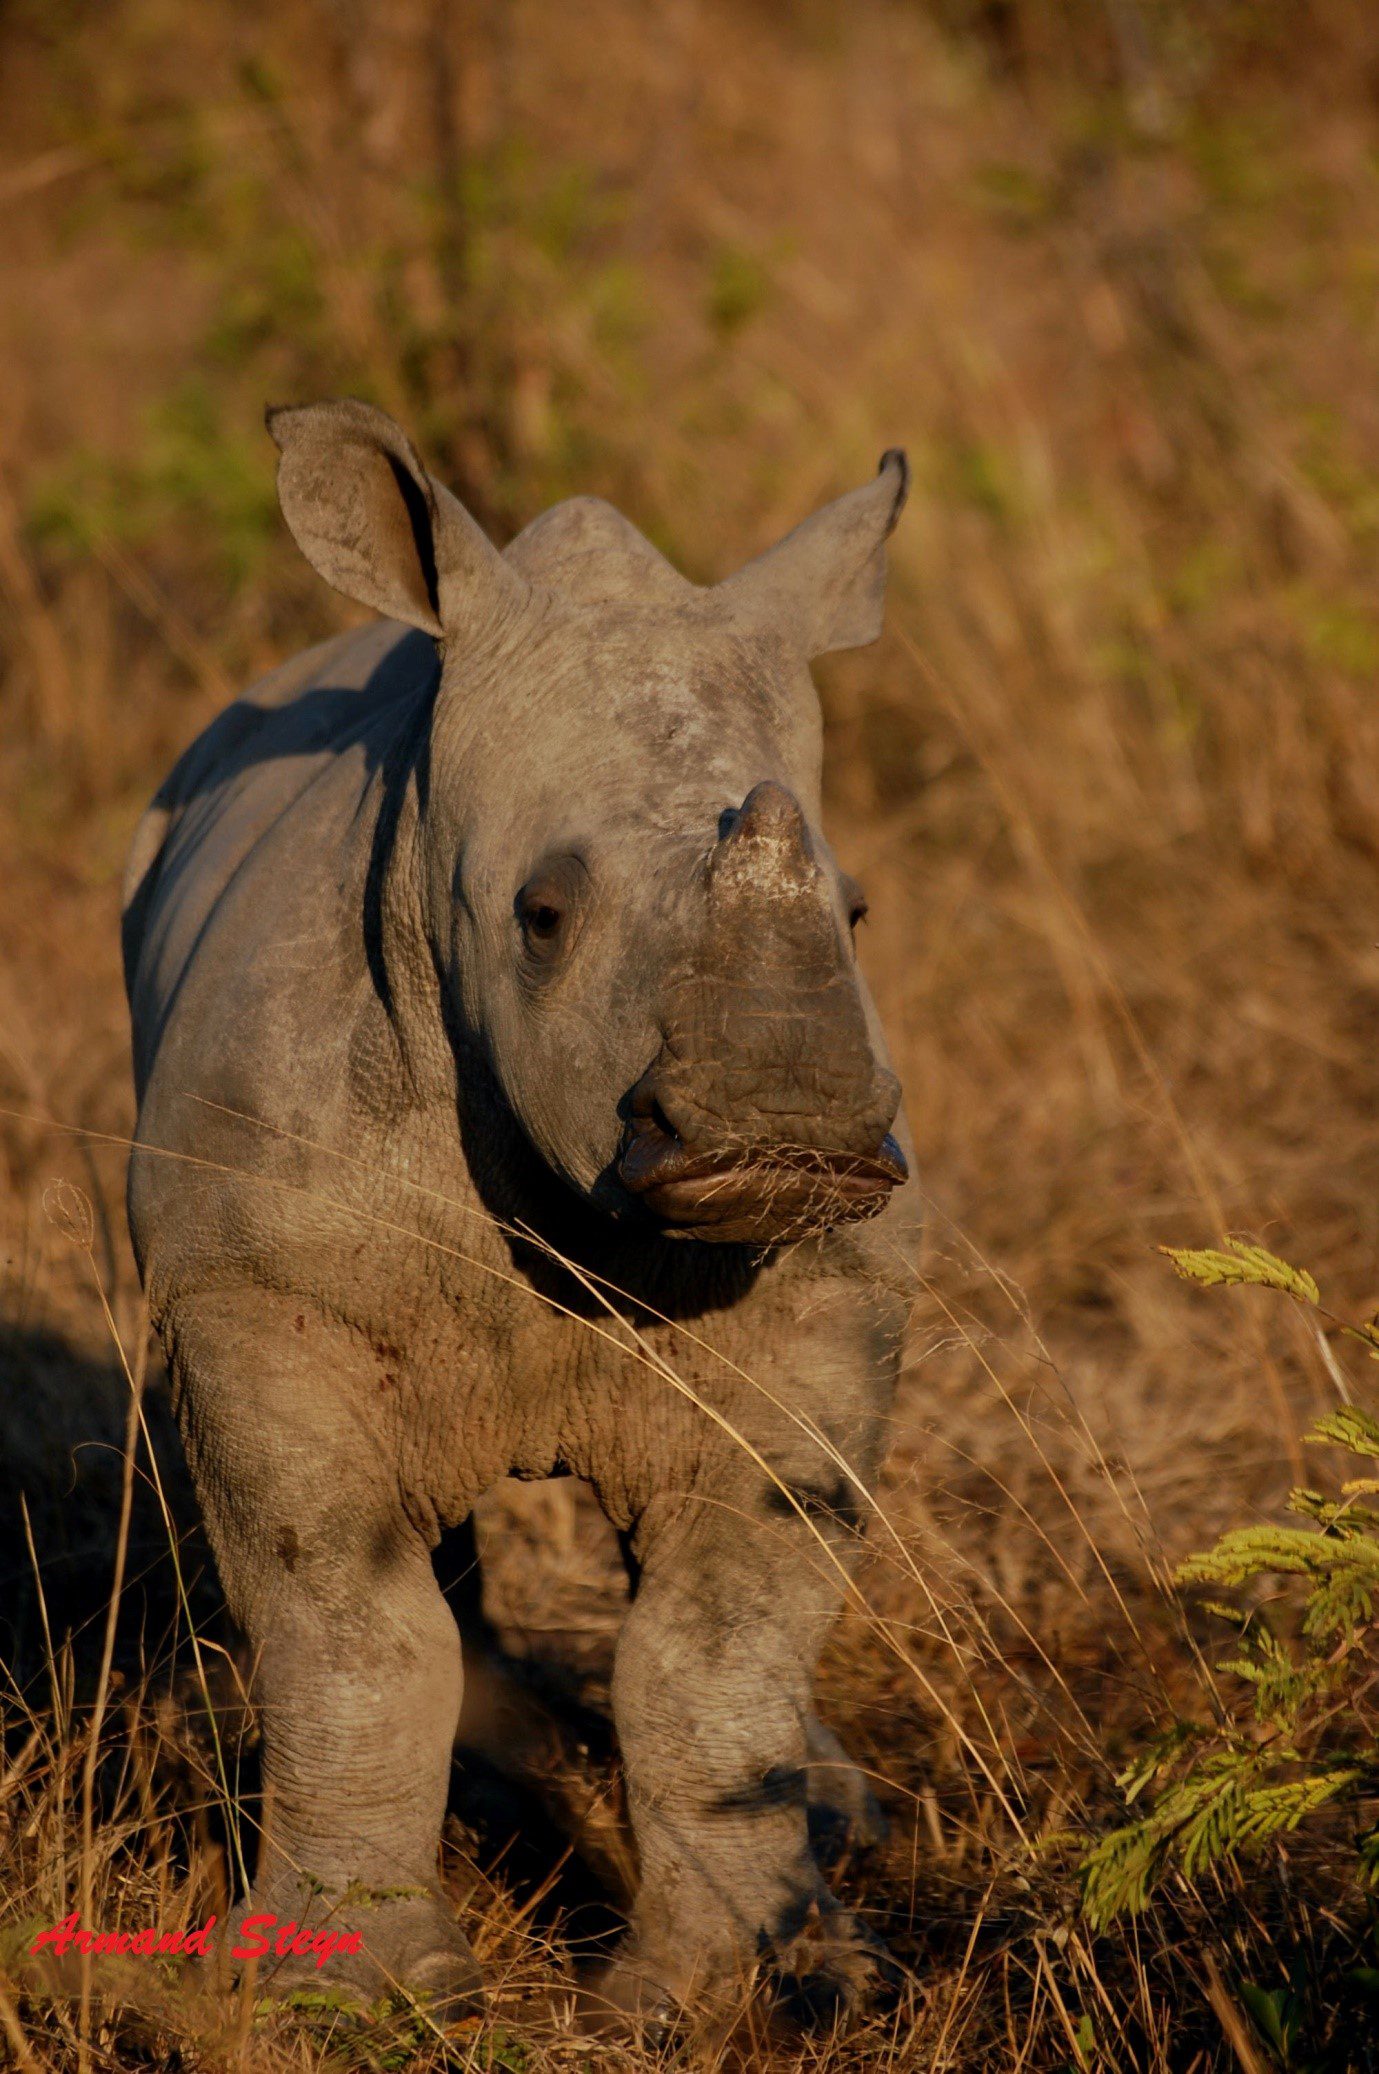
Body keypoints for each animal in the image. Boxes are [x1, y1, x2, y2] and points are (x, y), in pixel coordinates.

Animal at [118, 400, 912, 2024]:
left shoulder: (822, 1300)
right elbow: (347, 1626)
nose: (785, 1139)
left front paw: (742, 1993)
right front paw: (346, 1991)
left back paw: (840, 1813)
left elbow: (712, 1645)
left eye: (855, 916)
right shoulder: (256, 1292)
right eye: (541, 918)